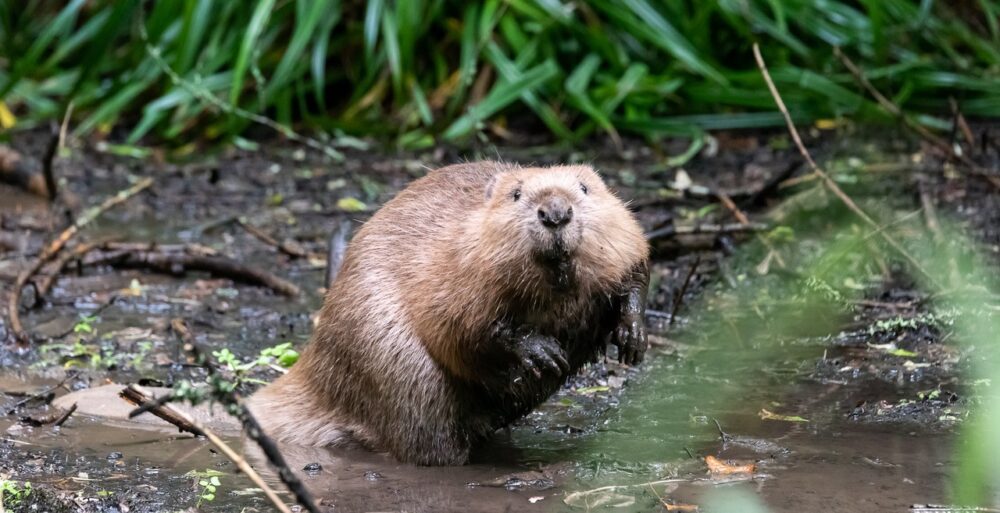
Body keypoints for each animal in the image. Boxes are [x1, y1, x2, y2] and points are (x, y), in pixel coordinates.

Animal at [248, 161, 648, 464]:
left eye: (584, 188)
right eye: (515, 194)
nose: (555, 213)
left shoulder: (624, 240)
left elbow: (636, 272)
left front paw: (633, 338)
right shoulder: (454, 263)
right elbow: (462, 327)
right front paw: (543, 353)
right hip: (396, 363)